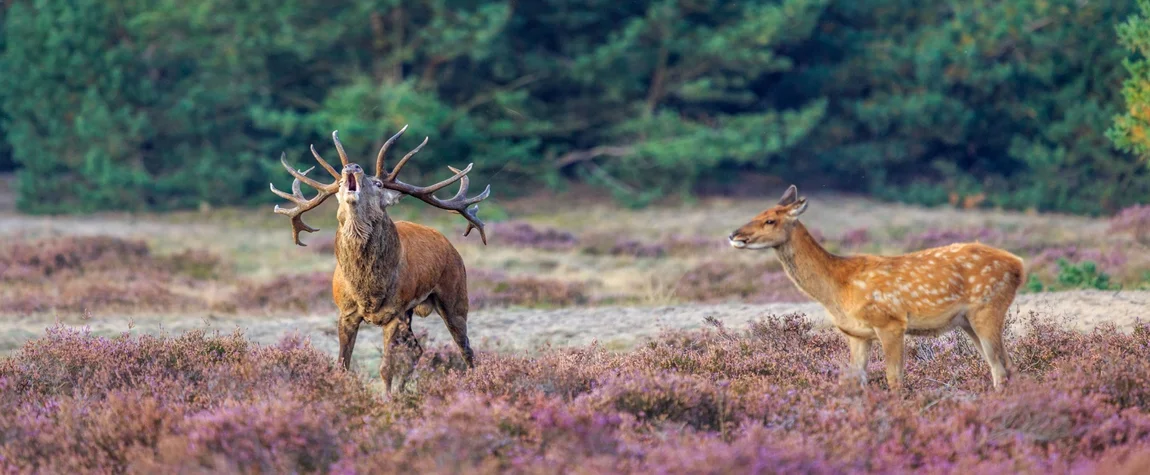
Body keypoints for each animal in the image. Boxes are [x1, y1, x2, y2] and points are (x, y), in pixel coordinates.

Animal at [269, 124, 489, 393]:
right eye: (340, 182)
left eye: (378, 184)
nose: (352, 167)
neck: (368, 290)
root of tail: (448, 244)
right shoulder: (346, 312)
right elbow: (343, 364)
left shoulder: (394, 313)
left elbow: (386, 368)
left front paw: (387, 398)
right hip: (411, 312)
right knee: (417, 349)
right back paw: (404, 390)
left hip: (454, 295)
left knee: (466, 349)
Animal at [726, 184, 1025, 388]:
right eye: (758, 213)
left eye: (770, 220)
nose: (734, 235)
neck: (837, 287)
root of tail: (1018, 265)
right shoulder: (857, 333)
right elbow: (856, 379)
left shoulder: (890, 322)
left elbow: (894, 379)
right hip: (967, 320)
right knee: (1005, 365)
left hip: (988, 307)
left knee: (1001, 368)